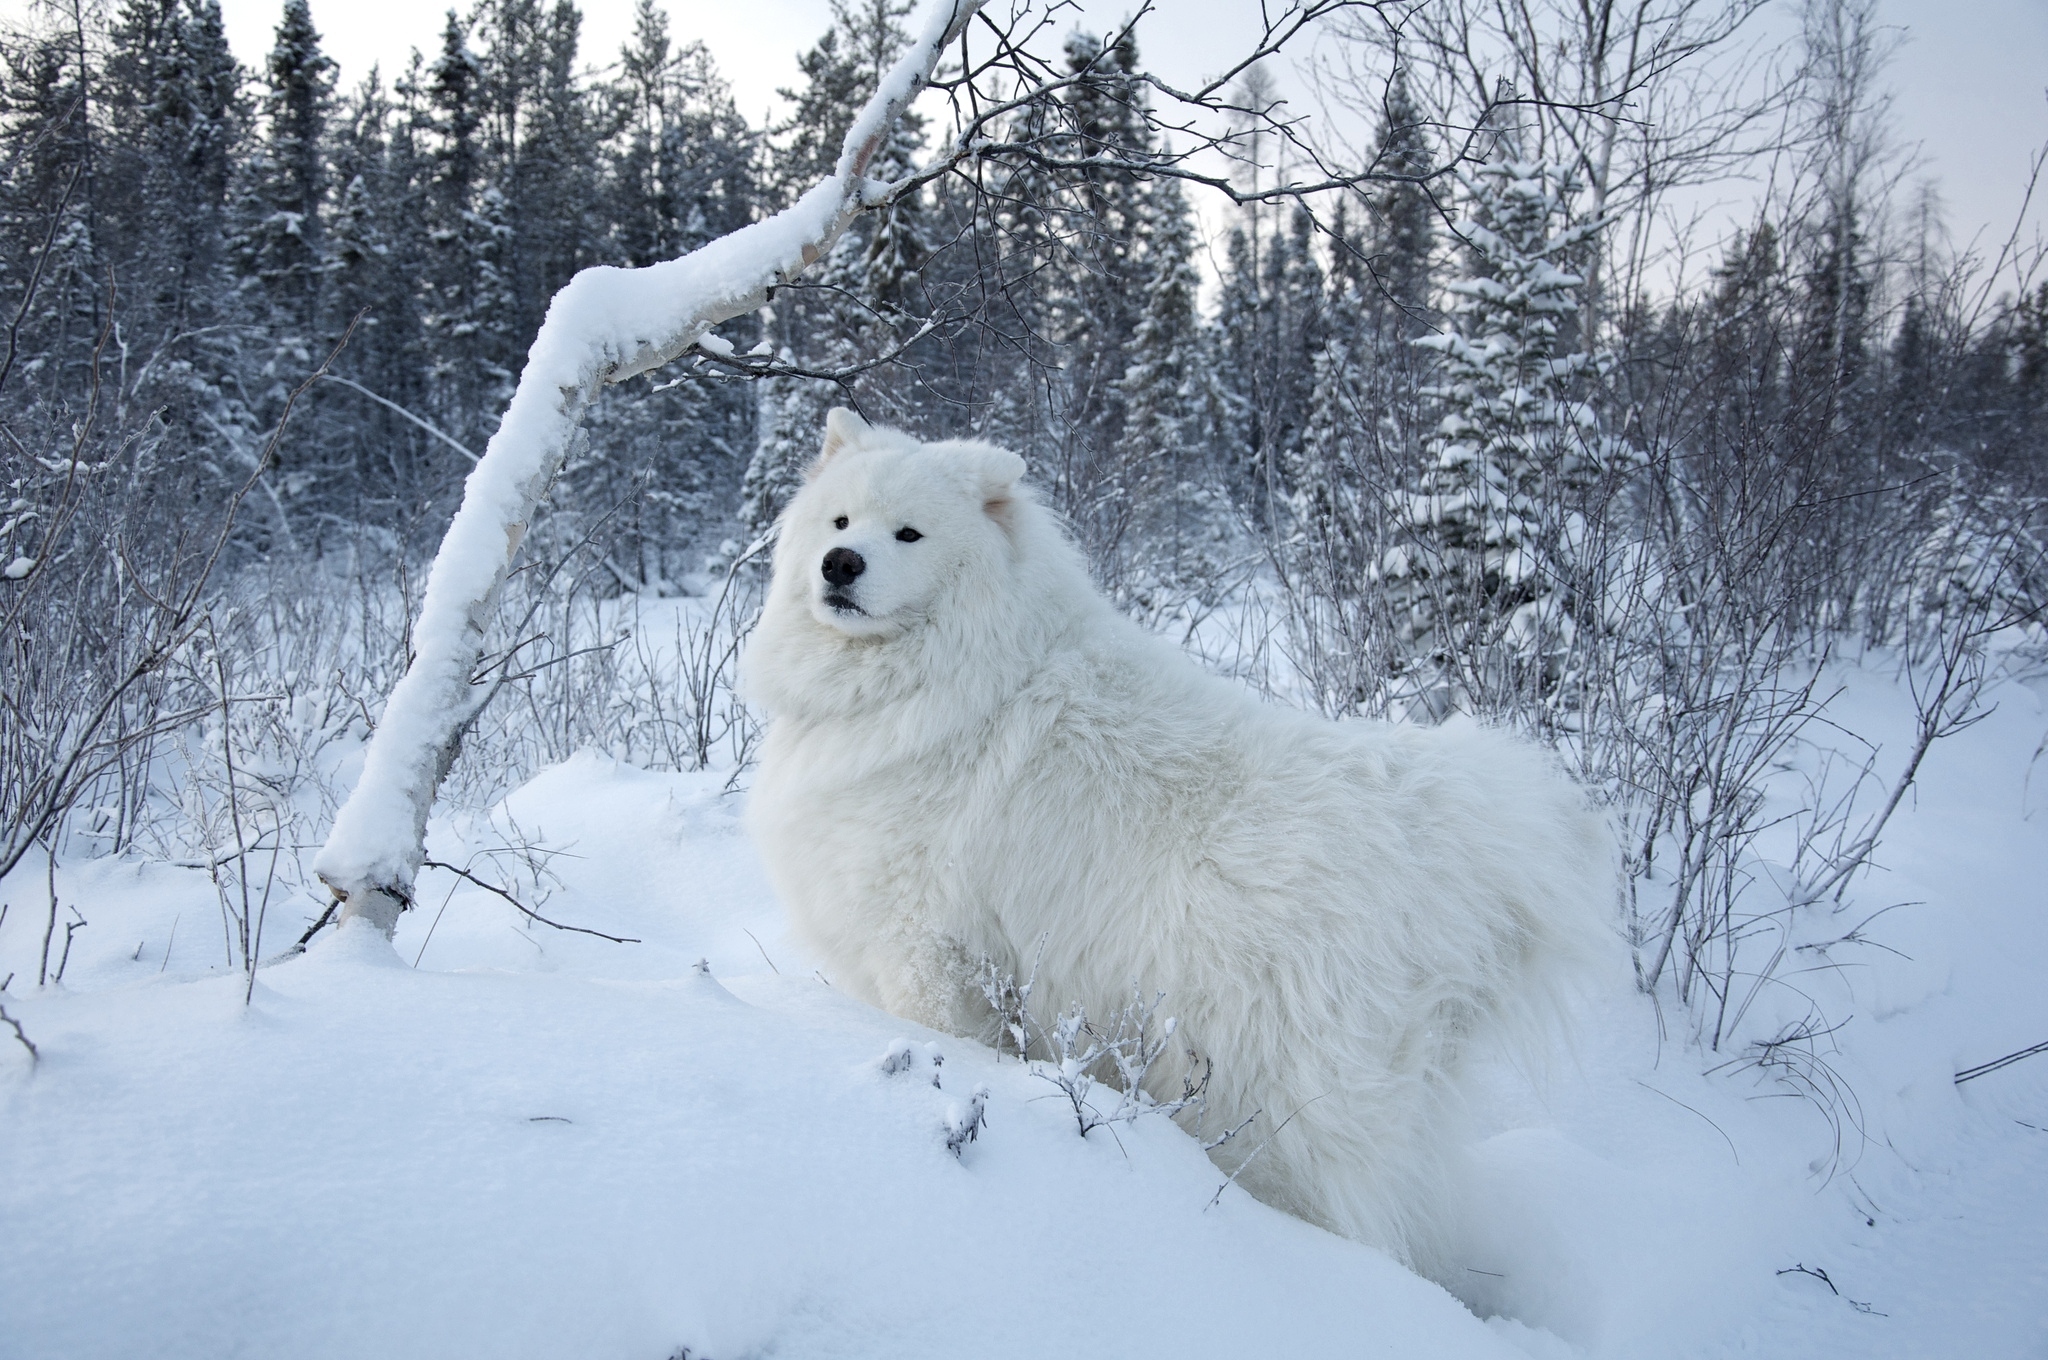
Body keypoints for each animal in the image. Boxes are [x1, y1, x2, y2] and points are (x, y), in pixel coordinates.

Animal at [745, 405, 1605, 1278]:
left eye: (909, 533)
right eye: (839, 521)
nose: (840, 564)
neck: (945, 675)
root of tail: (1434, 827)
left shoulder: (926, 951)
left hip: (1270, 1098)